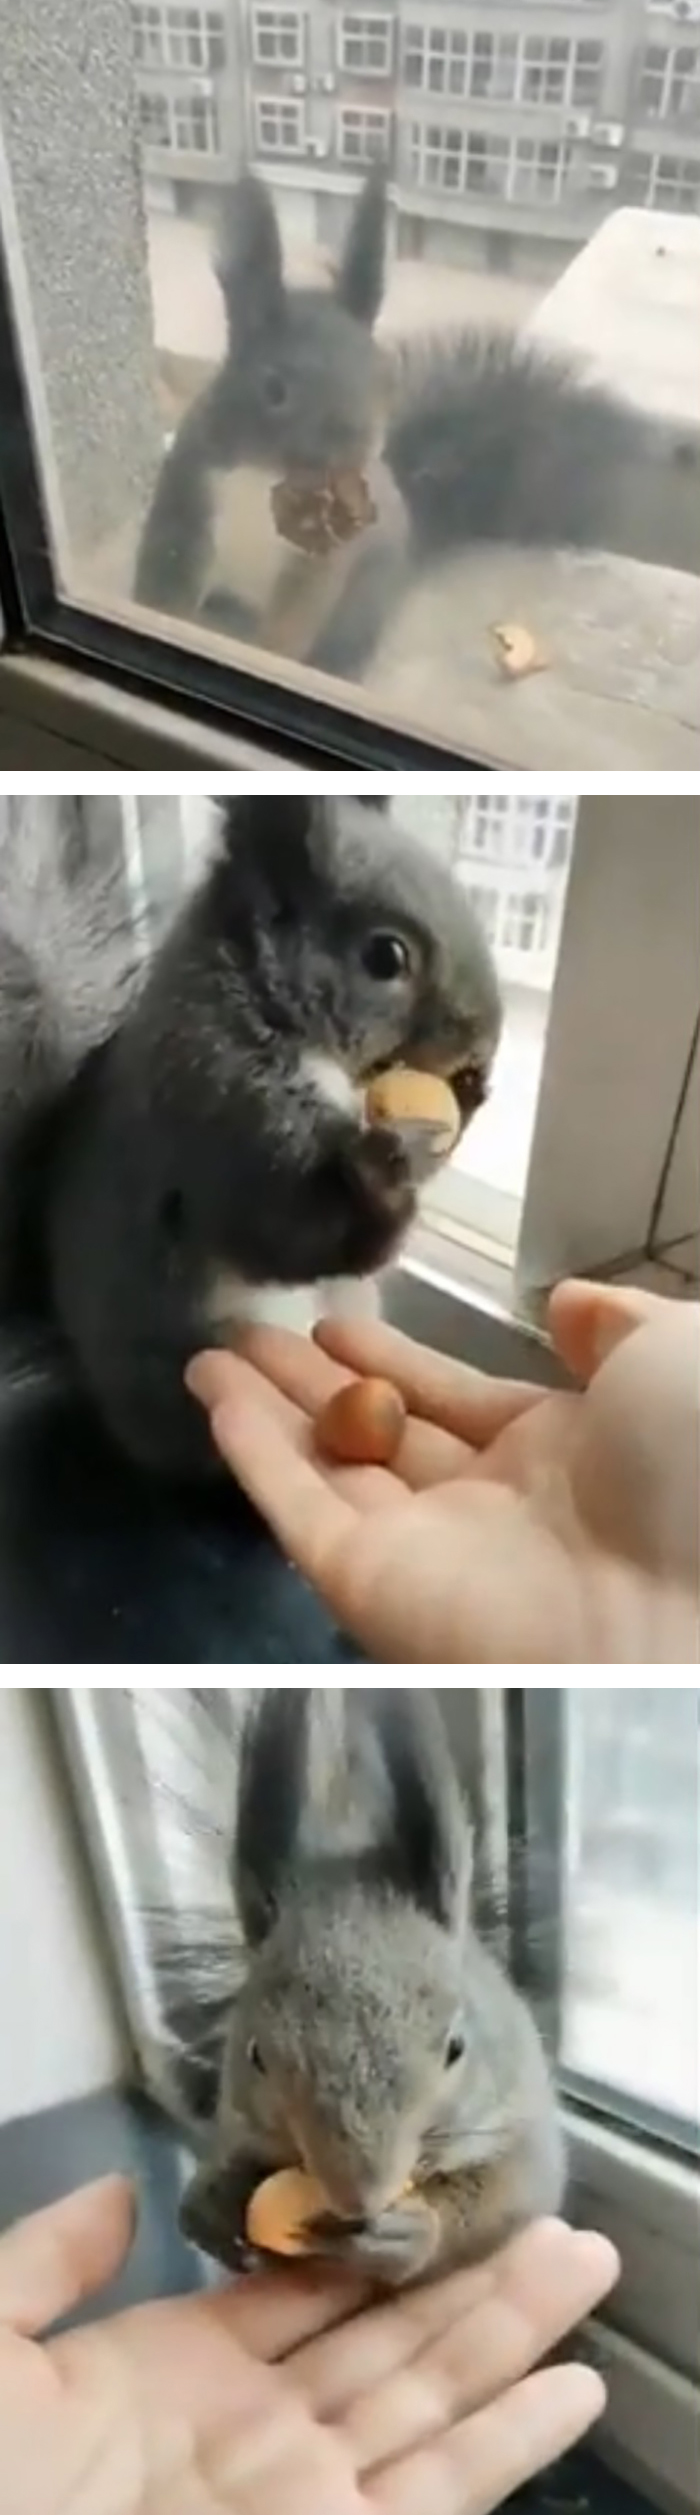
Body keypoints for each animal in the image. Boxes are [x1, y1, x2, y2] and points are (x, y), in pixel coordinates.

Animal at [0, 794, 503, 1478]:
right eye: (386, 957)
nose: (484, 1039)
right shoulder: (218, 1108)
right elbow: (281, 1229)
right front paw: (381, 1182)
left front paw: (471, 1093)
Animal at [132, 163, 689, 684]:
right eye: (274, 388)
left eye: (382, 377)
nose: (352, 451)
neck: (270, 479)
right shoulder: (189, 491)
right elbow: (169, 579)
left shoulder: (322, 562)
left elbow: (294, 618)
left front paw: (277, 655)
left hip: (366, 595)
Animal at [180, 1690, 564, 2303]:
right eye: (255, 2055)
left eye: (456, 2048)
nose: (358, 2200)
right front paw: (210, 2204)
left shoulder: (525, 2126)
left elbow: (509, 2198)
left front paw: (409, 2236)